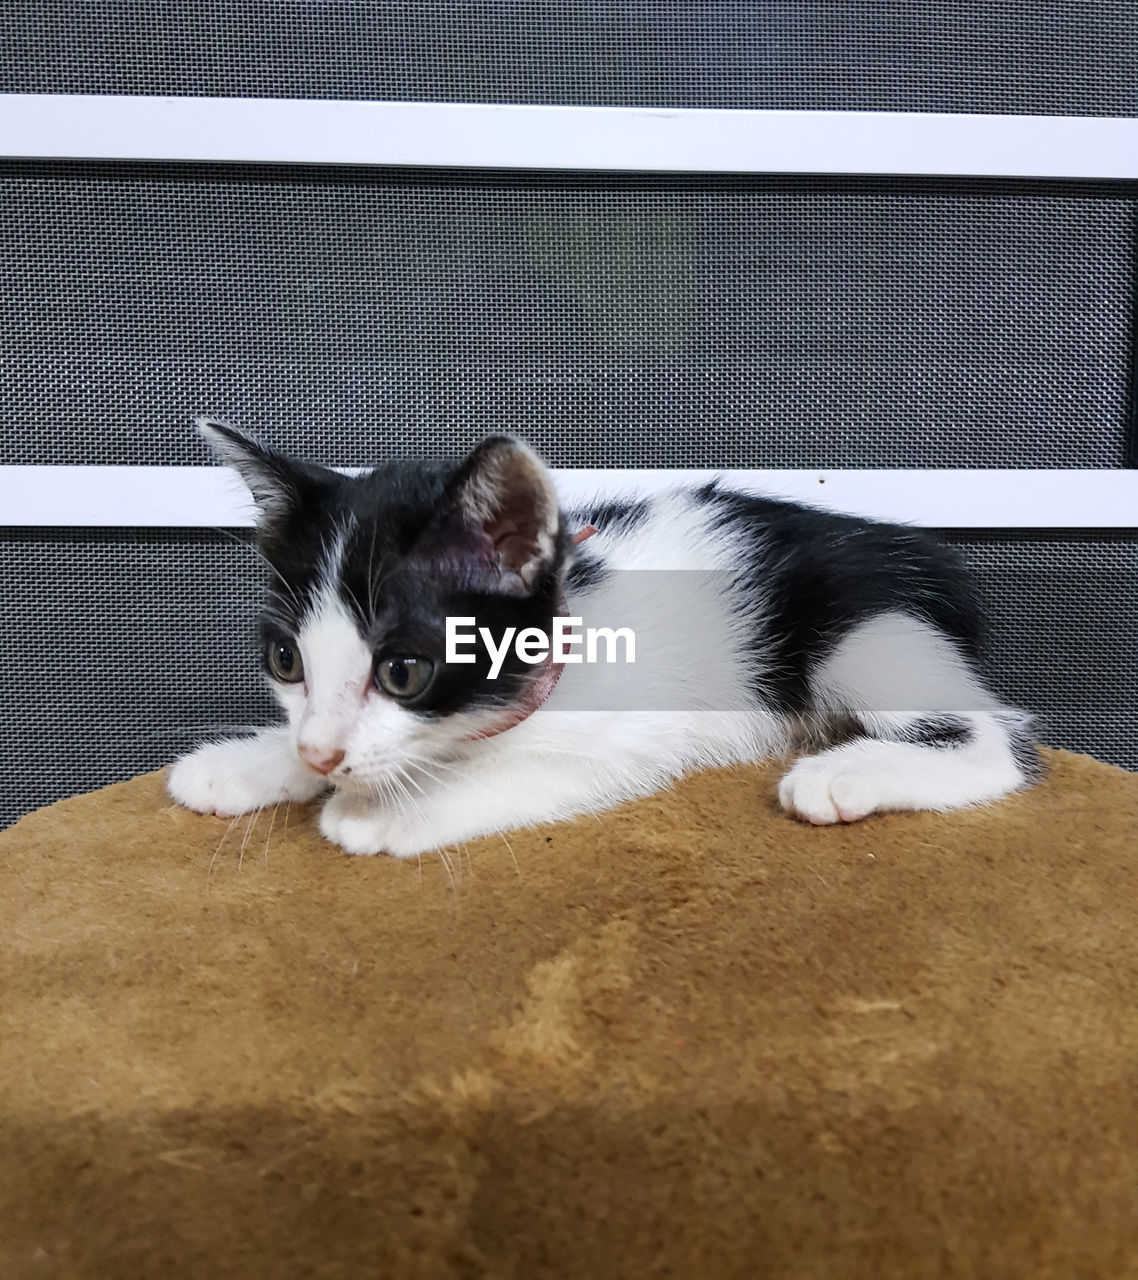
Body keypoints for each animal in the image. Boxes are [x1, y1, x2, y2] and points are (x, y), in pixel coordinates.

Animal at [166, 422, 1039, 860]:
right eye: (286, 661)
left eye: (404, 671)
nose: (319, 755)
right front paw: (255, 762)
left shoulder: (635, 734)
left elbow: (521, 768)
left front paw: (382, 808)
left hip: (865, 630)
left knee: (993, 743)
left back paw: (843, 774)